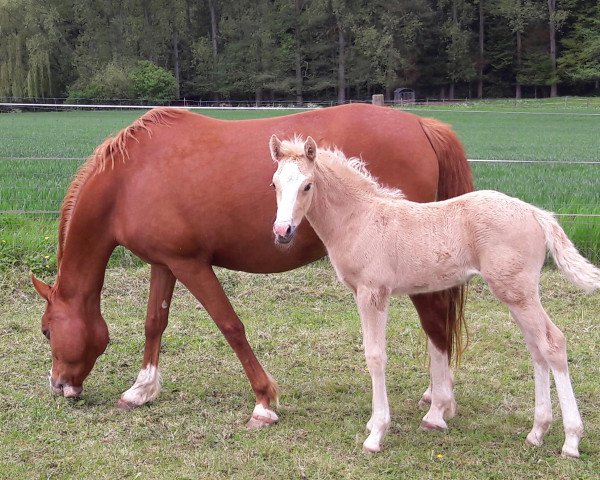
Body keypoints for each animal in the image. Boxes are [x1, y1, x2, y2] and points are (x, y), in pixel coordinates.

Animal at [31, 104, 474, 428]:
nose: (58, 385)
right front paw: (140, 390)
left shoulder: (192, 265)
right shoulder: (165, 262)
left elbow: (230, 326)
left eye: (47, 331)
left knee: (435, 319)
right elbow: (154, 323)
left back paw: (438, 406)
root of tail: (421, 124)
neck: (129, 178)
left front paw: (264, 401)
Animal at [270, 134, 600, 458]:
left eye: (307, 185)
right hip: (518, 295)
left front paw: (377, 433)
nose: (282, 231)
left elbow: (375, 356)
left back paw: (571, 440)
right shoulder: (360, 293)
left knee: (552, 343)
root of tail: (537, 213)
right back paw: (537, 432)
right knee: (536, 348)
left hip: (517, 292)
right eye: (274, 184)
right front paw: (375, 424)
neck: (360, 218)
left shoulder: (373, 293)